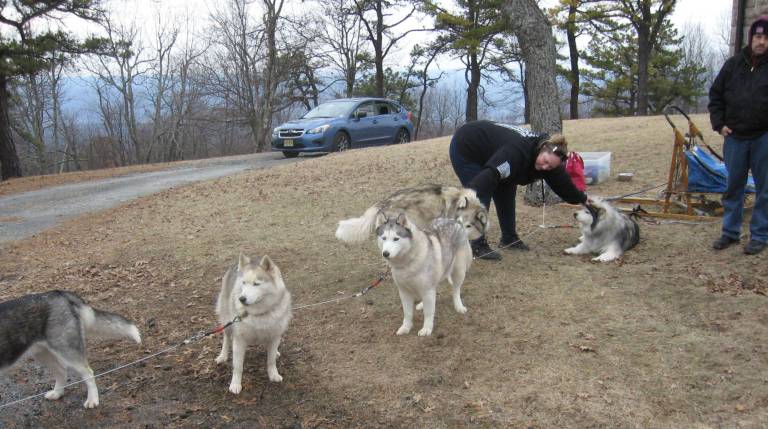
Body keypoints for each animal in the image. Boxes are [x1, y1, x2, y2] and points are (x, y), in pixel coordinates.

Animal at [0, 290, 141, 406]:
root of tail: (60, 293)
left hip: (67, 351)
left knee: (89, 374)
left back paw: (92, 400)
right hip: (43, 354)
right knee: (62, 371)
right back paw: (57, 393)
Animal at [214, 252, 292, 392]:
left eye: (256, 284)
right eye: (244, 283)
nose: (242, 299)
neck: (259, 313)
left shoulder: (274, 335)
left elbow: (271, 360)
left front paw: (273, 374)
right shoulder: (239, 339)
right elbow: (238, 366)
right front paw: (235, 384)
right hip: (227, 322)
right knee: (226, 338)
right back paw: (222, 356)